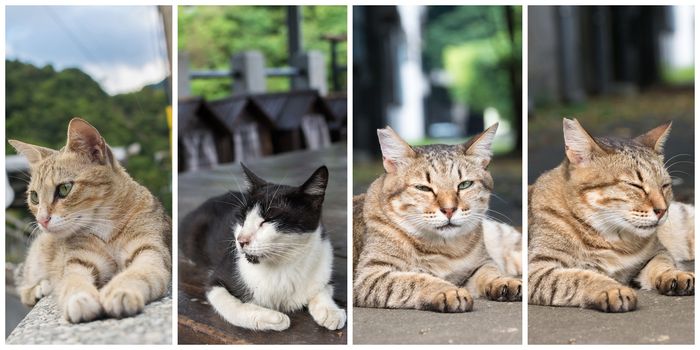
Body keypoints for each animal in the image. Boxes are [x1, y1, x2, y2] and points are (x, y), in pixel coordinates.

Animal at [10, 119, 171, 324]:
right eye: (34, 197)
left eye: (64, 188)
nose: (41, 219)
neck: (108, 230)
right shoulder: (78, 262)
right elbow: (73, 281)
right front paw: (80, 298)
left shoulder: (150, 252)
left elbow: (137, 272)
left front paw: (120, 290)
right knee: (24, 288)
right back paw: (38, 289)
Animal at [179, 164, 346, 330]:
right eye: (242, 218)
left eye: (268, 220)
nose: (241, 240)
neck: (282, 266)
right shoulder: (216, 281)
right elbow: (231, 305)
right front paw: (272, 318)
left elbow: (323, 287)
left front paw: (330, 311)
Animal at [352, 125, 524, 312]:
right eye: (423, 188)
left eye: (465, 185)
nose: (449, 210)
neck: (444, 248)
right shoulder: (369, 276)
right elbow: (414, 279)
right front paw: (448, 290)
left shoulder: (481, 264)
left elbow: (490, 271)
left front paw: (504, 280)